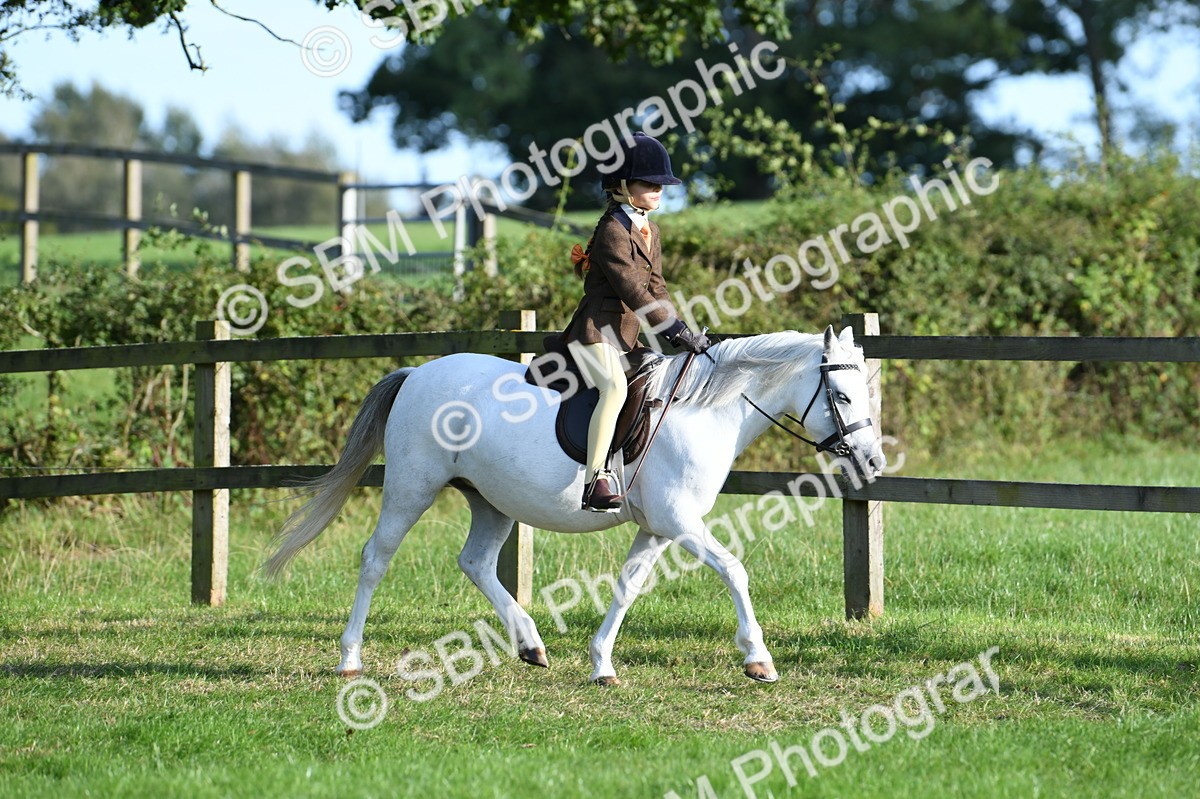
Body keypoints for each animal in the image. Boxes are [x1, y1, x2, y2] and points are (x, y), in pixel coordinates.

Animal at [265, 325, 885, 685]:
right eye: (843, 395)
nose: (874, 462)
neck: (705, 408)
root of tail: (418, 371)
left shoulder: (659, 527)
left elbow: (628, 587)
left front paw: (602, 664)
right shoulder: (683, 522)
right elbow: (735, 570)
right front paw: (758, 659)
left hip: (492, 500)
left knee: (476, 563)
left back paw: (531, 645)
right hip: (411, 488)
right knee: (376, 558)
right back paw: (350, 659)